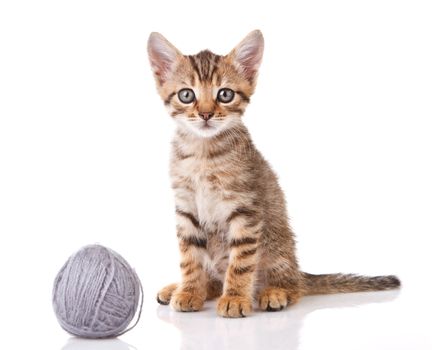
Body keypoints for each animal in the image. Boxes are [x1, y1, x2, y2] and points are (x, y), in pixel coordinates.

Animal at [148, 31, 402, 318]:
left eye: (225, 94)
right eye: (186, 95)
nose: (205, 114)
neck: (203, 153)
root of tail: (299, 272)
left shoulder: (246, 209)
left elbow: (241, 262)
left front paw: (235, 297)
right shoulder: (186, 209)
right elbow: (190, 258)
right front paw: (190, 291)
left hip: (278, 249)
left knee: (291, 285)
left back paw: (274, 292)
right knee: (213, 277)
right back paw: (183, 288)